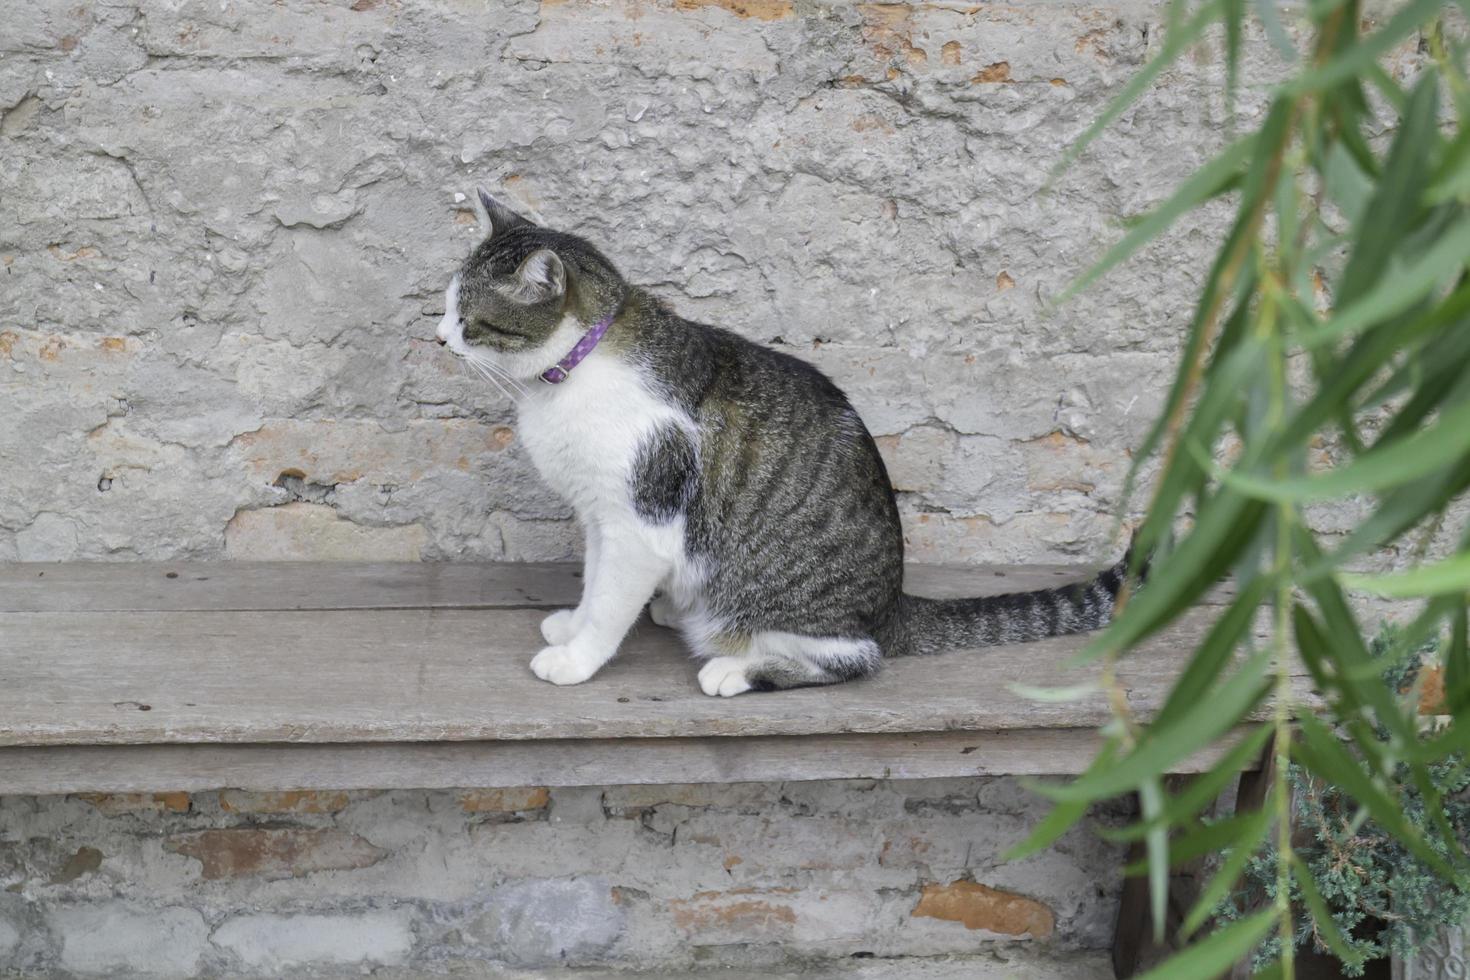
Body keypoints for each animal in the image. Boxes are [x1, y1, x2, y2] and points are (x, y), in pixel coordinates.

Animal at [429, 188, 1134, 696]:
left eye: (467, 318)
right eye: (446, 308)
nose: (436, 337)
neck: (570, 374)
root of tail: (894, 607)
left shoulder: (640, 520)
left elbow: (609, 600)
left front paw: (577, 658)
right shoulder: (602, 513)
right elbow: (593, 582)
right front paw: (572, 626)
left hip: (785, 607)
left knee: (855, 659)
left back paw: (736, 669)